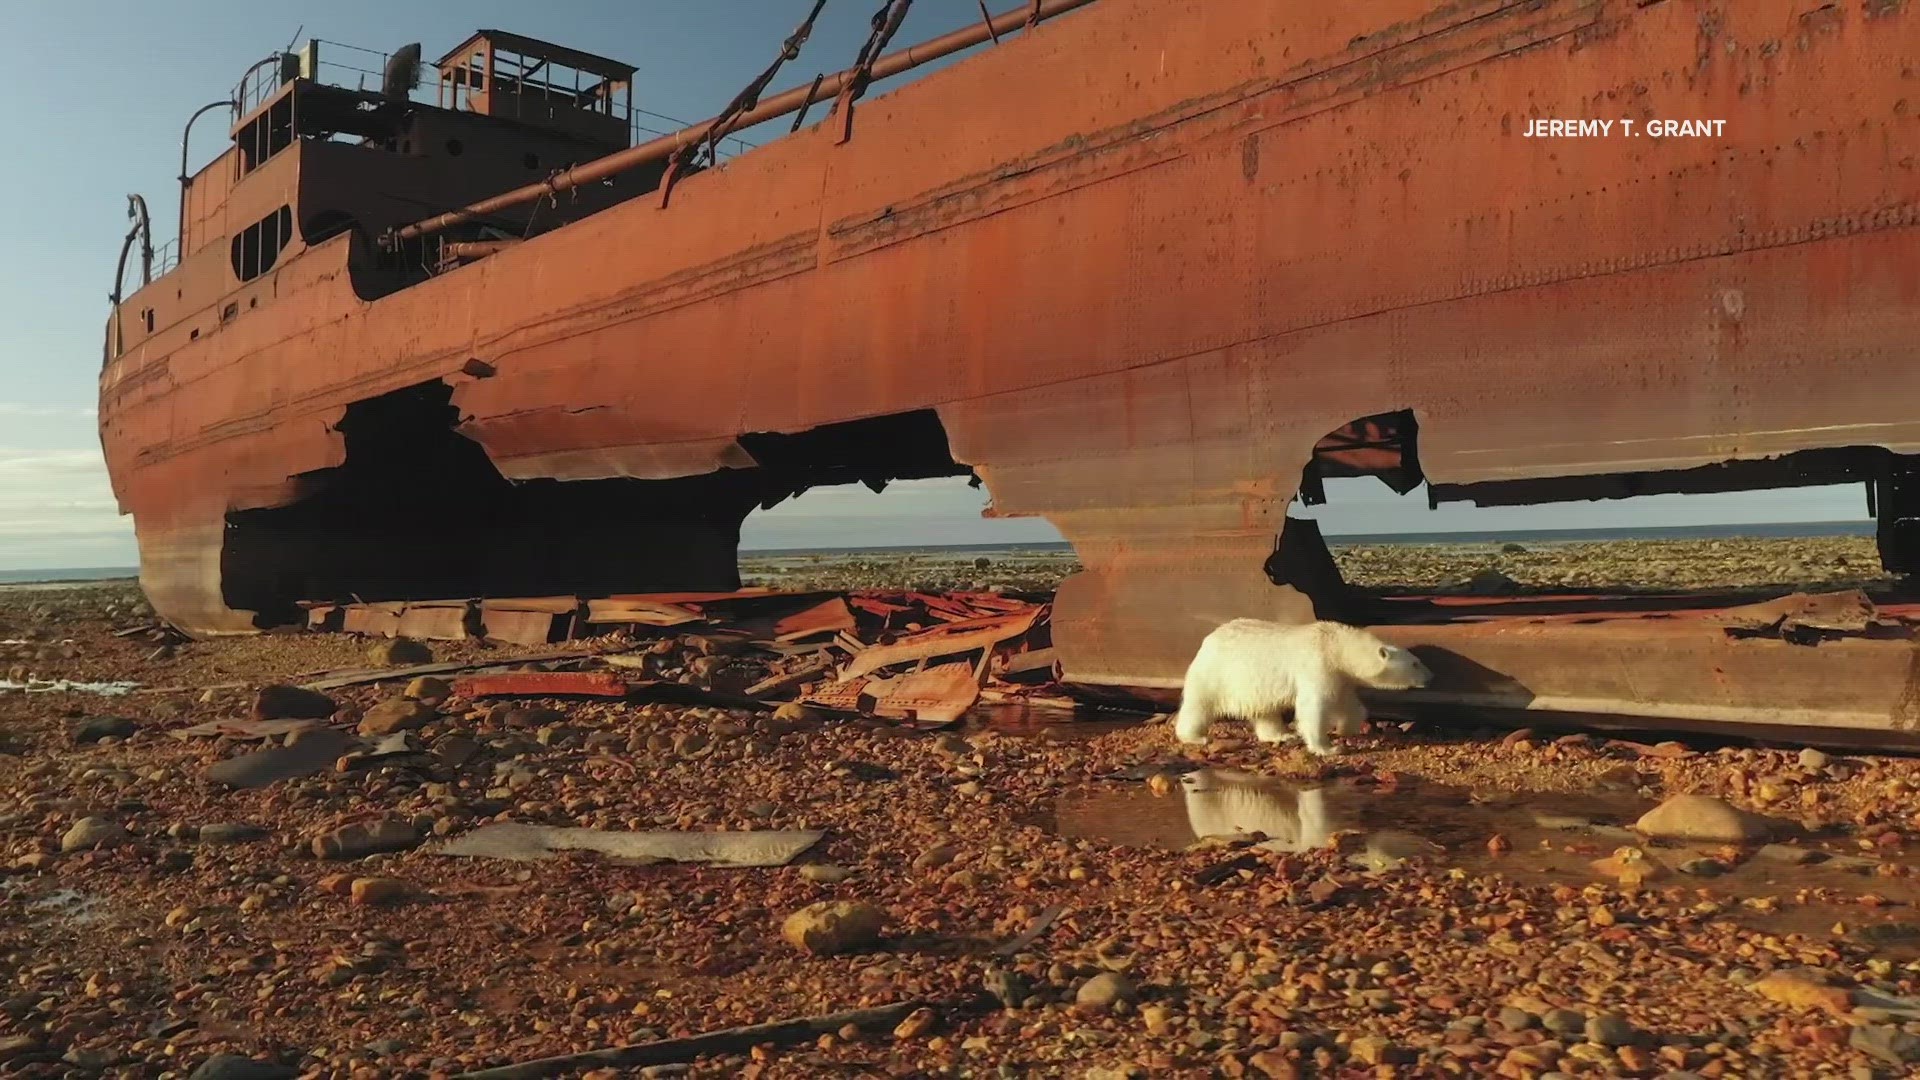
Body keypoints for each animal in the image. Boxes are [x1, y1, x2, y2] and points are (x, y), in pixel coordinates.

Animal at [1167, 618, 1428, 753]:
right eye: (1416, 663)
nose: (1430, 676)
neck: (1336, 645)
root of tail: (1208, 639)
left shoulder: (1339, 675)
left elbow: (1349, 703)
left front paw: (1347, 729)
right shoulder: (1318, 664)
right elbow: (1314, 706)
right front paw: (1327, 748)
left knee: (1265, 711)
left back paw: (1282, 735)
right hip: (1216, 673)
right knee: (1199, 705)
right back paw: (1195, 737)